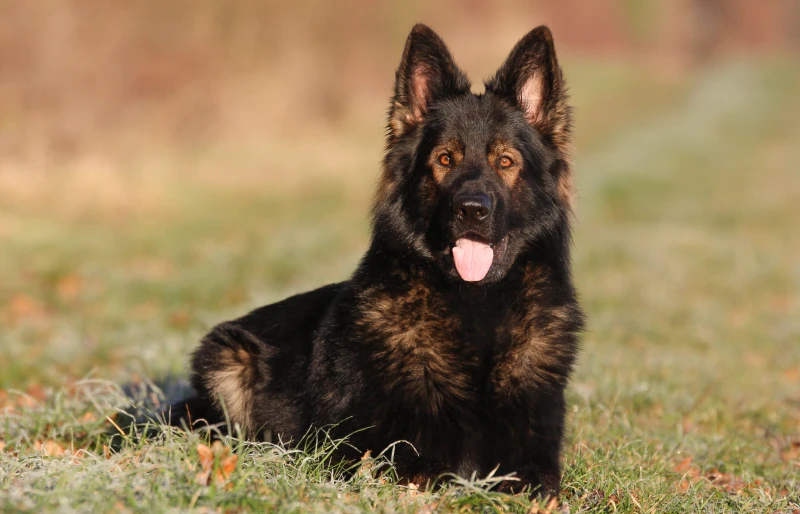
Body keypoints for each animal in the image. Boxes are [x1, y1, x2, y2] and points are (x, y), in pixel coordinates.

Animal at [177, 24, 588, 496]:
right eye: (444, 159)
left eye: (505, 161)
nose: (471, 209)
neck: (476, 309)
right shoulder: (371, 455)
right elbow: (430, 471)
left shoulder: (536, 462)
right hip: (226, 358)